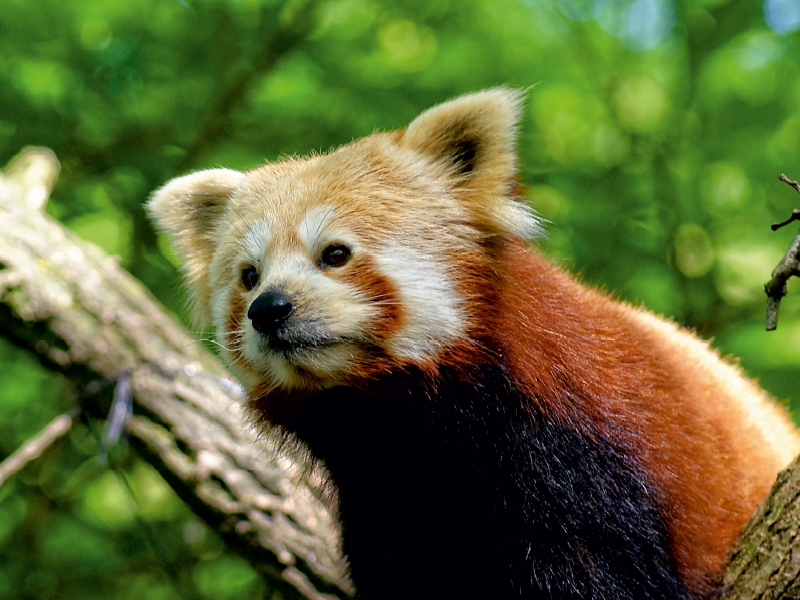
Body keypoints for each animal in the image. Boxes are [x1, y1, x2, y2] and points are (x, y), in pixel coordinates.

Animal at [147, 89, 800, 600]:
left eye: (335, 253)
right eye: (248, 276)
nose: (269, 309)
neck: (410, 424)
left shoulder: (578, 455)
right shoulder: (381, 498)